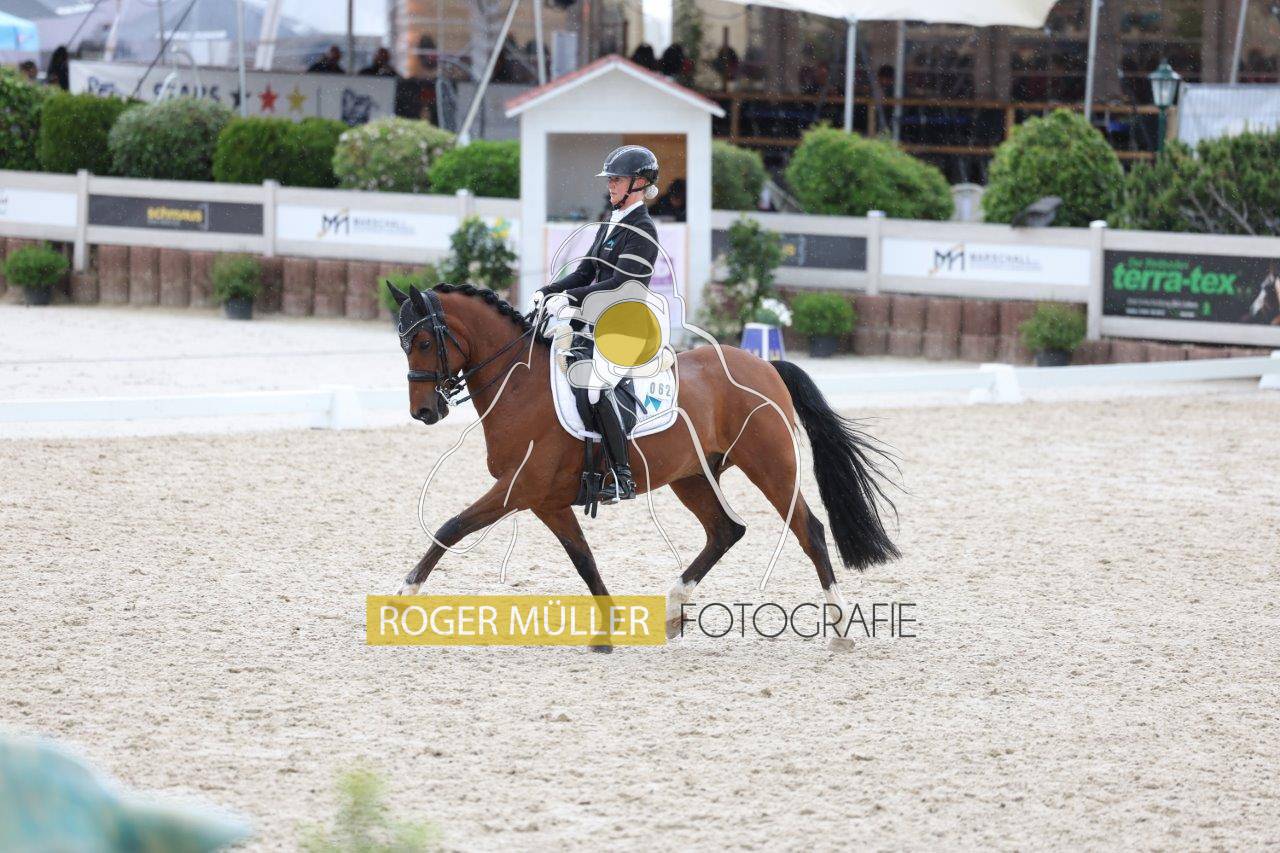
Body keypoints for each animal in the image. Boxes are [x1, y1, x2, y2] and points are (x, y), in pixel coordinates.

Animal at [388, 283, 899, 650]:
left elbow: (451, 527)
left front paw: (402, 598)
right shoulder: (545, 500)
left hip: (771, 466)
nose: (424, 412)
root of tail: (766, 366)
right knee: (725, 530)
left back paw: (840, 630)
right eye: (403, 344)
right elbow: (583, 558)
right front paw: (607, 628)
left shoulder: (518, 489)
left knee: (808, 529)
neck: (520, 385)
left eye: (424, 341)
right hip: (692, 476)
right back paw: (673, 610)